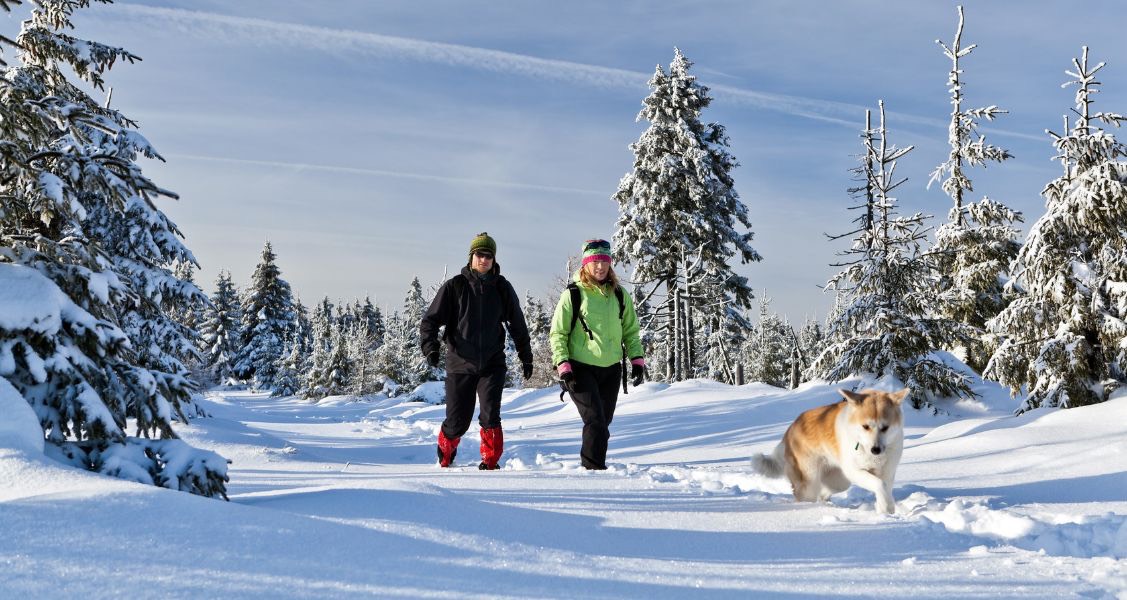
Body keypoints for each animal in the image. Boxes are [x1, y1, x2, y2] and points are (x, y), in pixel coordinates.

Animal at [752, 387, 910, 516]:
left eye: (885, 428)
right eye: (865, 426)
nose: (875, 450)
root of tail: (790, 429)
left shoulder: (887, 472)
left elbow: (885, 488)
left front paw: (885, 509)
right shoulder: (854, 471)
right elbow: (880, 485)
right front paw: (886, 509)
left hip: (839, 480)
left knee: (825, 492)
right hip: (810, 482)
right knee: (805, 496)